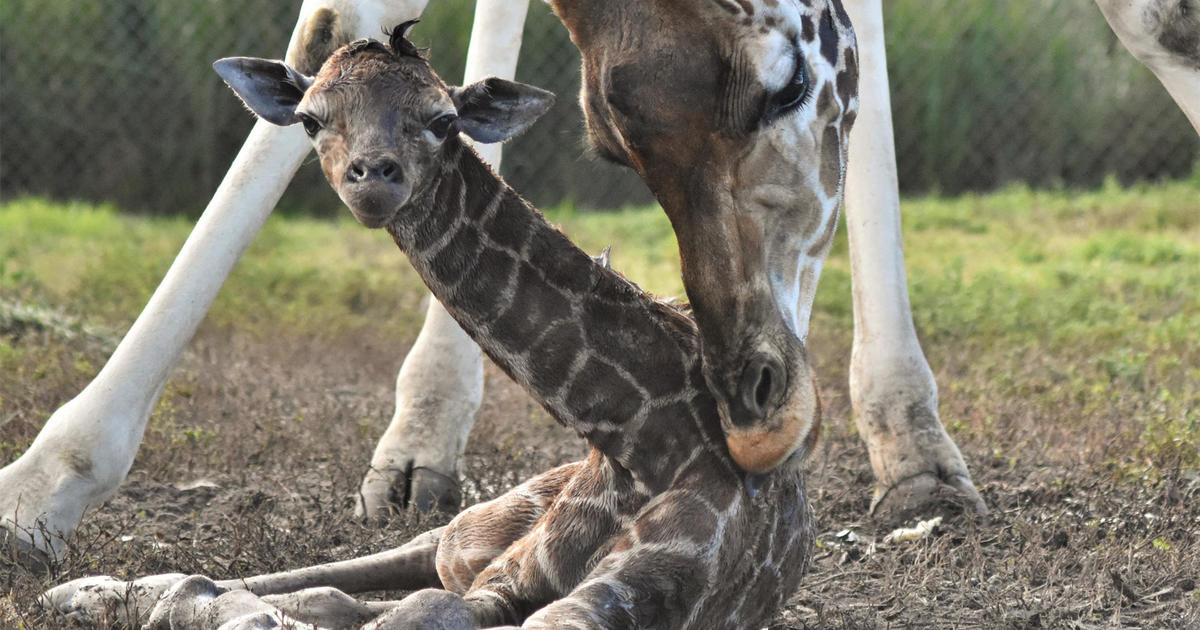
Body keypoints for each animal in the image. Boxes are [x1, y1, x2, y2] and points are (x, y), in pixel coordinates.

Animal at [2, 0, 1200, 559]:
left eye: (783, 92)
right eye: (607, 149)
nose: (751, 410)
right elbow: (332, 29)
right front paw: (42, 485)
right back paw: (421, 440)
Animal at [39, 22, 825, 624]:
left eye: (444, 120)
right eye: (311, 119)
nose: (373, 176)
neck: (639, 435)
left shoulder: (610, 595)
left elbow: (365, 609)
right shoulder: (505, 577)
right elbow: (311, 594)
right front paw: (115, 593)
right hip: (475, 531)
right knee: (383, 556)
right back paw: (75, 584)